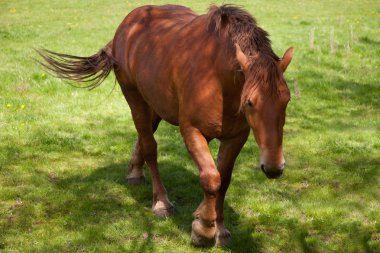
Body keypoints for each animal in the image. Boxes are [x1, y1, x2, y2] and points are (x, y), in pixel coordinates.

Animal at [37, 4, 292, 247]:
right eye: (250, 102)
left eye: (287, 100)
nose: (274, 168)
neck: (218, 78)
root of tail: (126, 26)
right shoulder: (191, 131)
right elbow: (211, 179)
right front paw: (204, 230)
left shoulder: (236, 137)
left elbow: (224, 180)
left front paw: (218, 228)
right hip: (136, 100)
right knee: (150, 146)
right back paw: (161, 203)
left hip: (157, 106)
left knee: (144, 138)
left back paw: (135, 172)